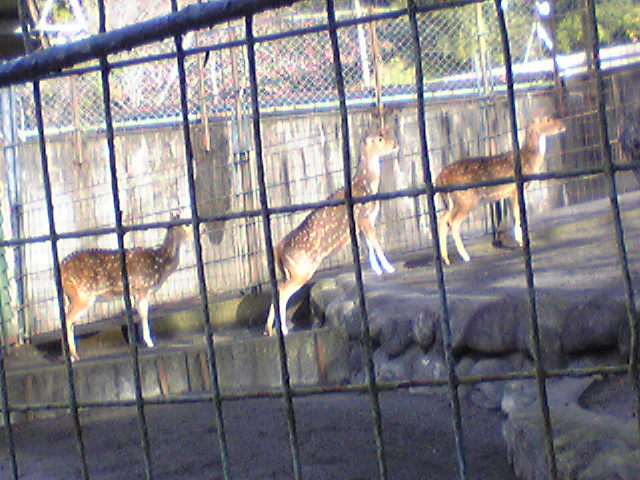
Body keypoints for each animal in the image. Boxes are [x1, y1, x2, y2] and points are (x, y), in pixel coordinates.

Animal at [59, 214, 192, 361]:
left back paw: (71, 356)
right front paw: (150, 343)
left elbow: (140, 314)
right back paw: (74, 356)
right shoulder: (142, 287)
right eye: (186, 224)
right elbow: (144, 314)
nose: (202, 230)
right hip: (83, 294)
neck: (160, 262)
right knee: (68, 319)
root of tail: (62, 268)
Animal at [264, 133, 397, 336]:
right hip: (302, 269)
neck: (367, 186)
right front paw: (389, 268)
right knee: (282, 292)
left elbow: (369, 247)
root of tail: (278, 249)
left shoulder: (362, 224)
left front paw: (377, 269)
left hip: (288, 271)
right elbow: (376, 244)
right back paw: (283, 329)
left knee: (277, 290)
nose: (395, 144)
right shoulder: (365, 218)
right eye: (380, 138)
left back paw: (270, 330)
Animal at [435, 112, 566, 265]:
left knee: (442, 218)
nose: (563, 124)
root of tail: (439, 177)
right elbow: (517, 214)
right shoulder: (516, 189)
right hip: (466, 199)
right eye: (548, 119)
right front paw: (521, 241)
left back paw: (446, 259)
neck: (528, 159)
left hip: (452, 200)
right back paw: (465, 256)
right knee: (452, 222)